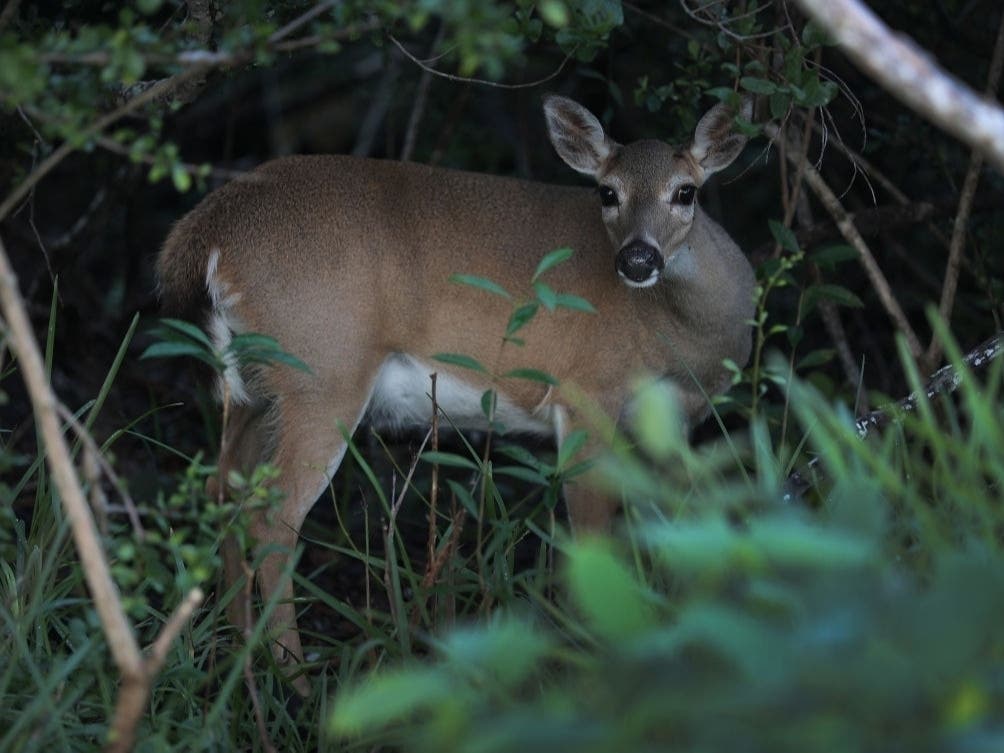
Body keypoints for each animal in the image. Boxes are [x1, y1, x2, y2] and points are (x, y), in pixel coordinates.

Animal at [156, 94, 756, 691]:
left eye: (686, 191)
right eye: (607, 192)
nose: (637, 259)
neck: (677, 334)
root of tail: (209, 232)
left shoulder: (673, 422)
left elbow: (681, 529)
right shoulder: (587, 393)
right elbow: (592, 538)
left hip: (255, 387)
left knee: (223, 489)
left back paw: (239, 664)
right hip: (323, 371)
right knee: (274, 515)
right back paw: (296, 681)